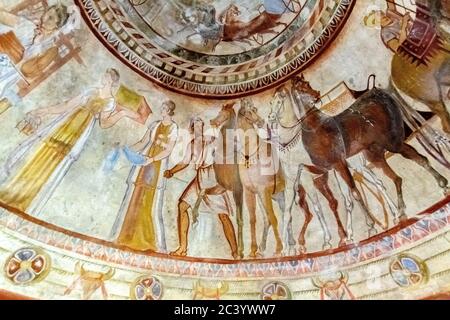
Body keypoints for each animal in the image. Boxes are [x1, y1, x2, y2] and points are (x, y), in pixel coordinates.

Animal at [270, 75, 446, 248]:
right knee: (398, 172)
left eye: (307, 84)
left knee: (413, 159)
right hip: (375, 153)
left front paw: (369, 226)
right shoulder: (330, 169)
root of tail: (377, 93)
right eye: (300, 87)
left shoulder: (337, 165)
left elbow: (352, 194)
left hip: (389, 143)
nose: (316, 96)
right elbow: (343, 199)